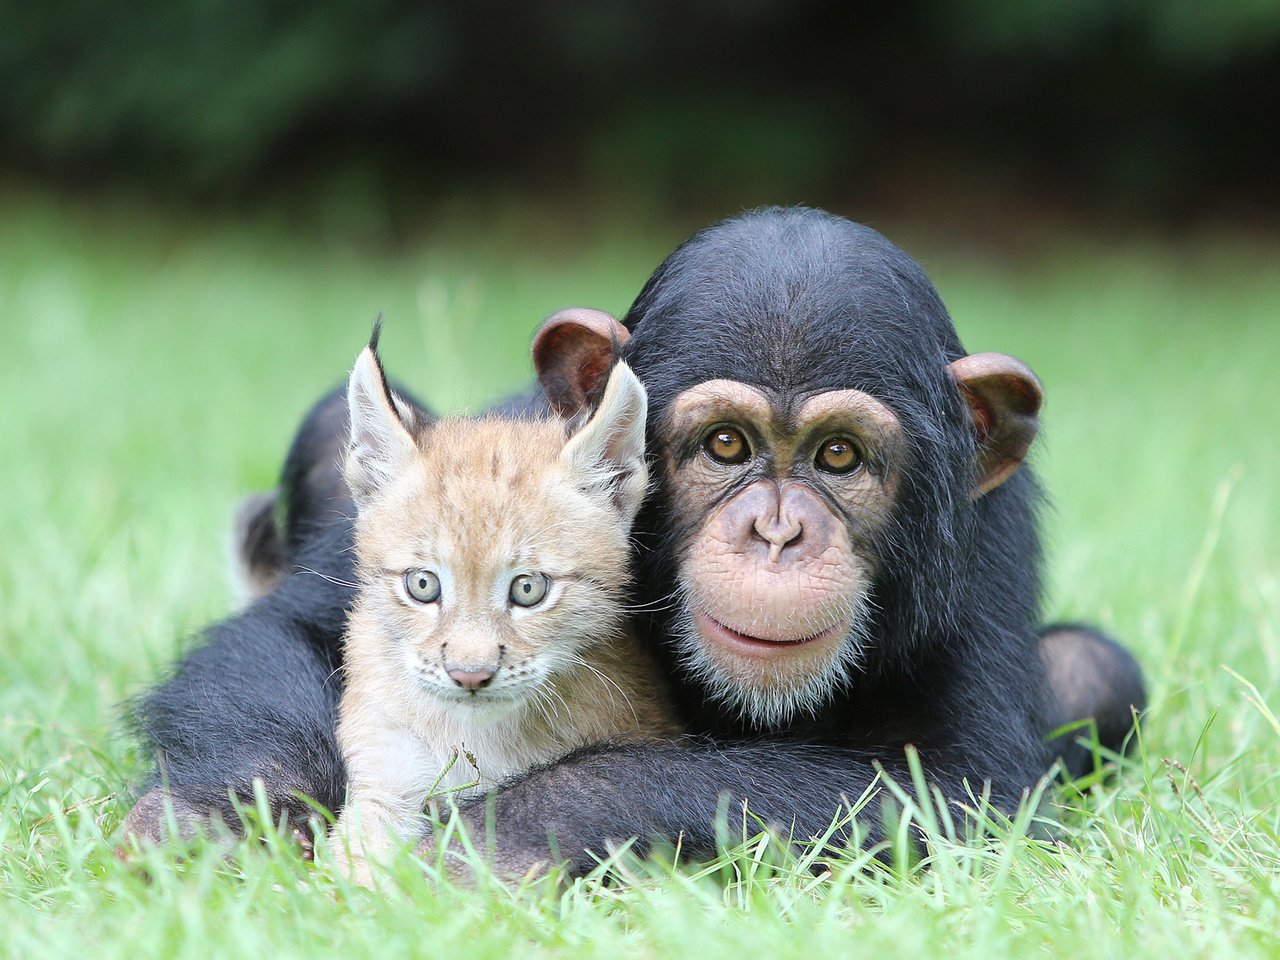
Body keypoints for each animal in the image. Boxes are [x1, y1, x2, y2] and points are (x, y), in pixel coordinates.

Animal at [124, 208, 1146, 870]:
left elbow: (959, 792)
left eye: (839, 456)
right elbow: (286, 634)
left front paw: (496, 837)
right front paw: (214, 817)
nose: (778, 532)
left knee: (1096, 669)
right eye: (727, 445)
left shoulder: (980, 562)